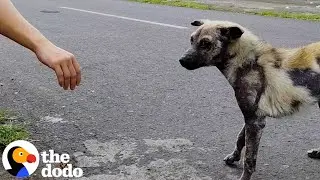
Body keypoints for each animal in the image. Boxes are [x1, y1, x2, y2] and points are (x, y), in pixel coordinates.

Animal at [179, 20, 318, 180]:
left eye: (206, 43)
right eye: (192, 40)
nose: (181, 60)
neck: (249, 63)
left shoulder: (255, 122)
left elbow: (249, 159)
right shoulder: (251, 118)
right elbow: (240, 138)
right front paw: (234, 157)